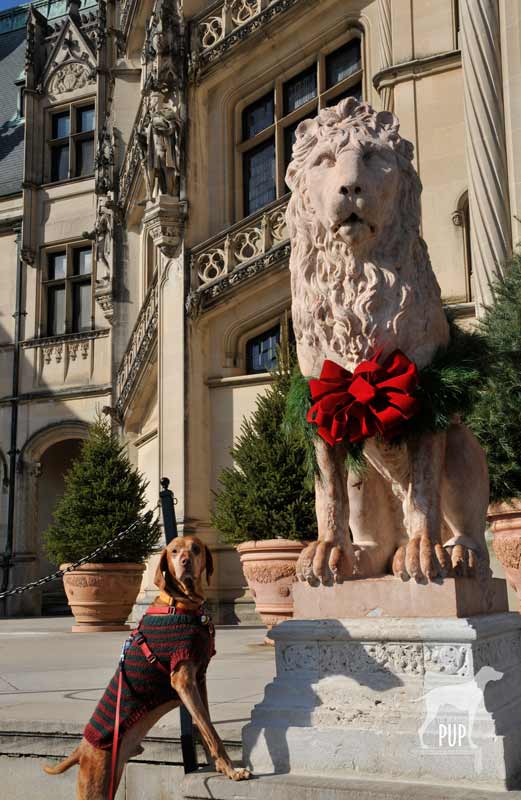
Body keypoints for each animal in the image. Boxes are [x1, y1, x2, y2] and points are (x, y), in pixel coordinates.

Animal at [43, 536, 251, 796]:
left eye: (195, 549)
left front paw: (219, 768)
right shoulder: (183, 680)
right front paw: (231, 770)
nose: (185, 562)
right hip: (96, 784)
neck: (181, 603)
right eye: (174, 551)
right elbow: (210, 731)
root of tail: (81, 749)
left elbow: (205, 727)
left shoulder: (199, 678)